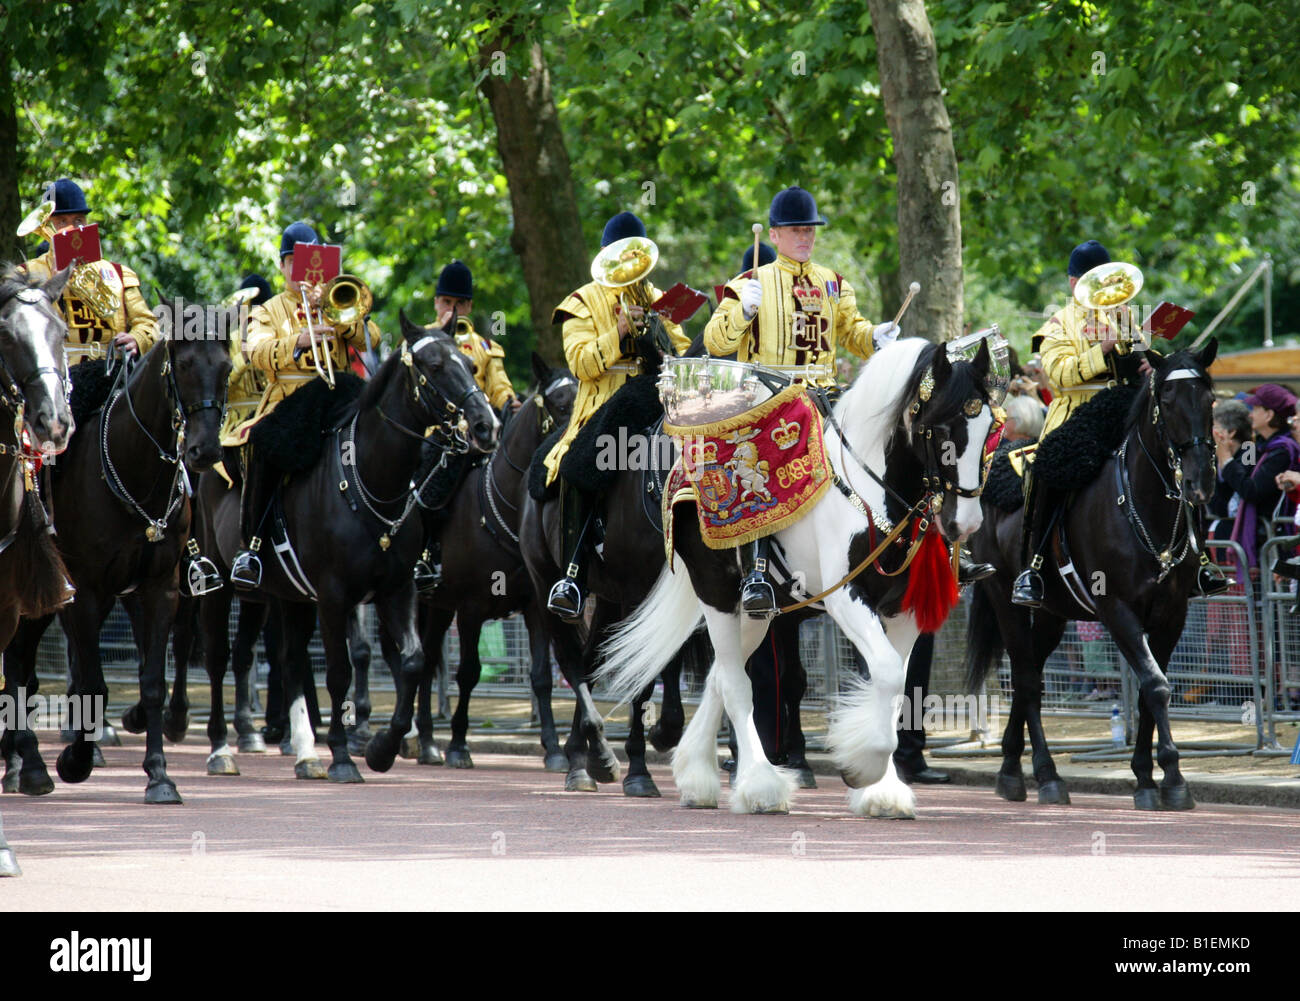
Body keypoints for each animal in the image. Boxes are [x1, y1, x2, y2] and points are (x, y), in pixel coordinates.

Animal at [2, 308, 232, 800]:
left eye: (225, 368)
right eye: (184, 365)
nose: (204, 451)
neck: (131, 467)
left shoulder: (159, 589)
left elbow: (151, 682)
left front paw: (159, 774)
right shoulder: (84, 593)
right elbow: (93, 683)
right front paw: (75, 760)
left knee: (21, 663)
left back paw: (20, 762)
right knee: (17, 664)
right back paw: (28, 763)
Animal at [200, 312, 499, 780]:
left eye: (470, 365)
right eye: (433, 366)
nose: (486, 426)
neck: (375, 482)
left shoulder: (398, 590)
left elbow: (413, 661)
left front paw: (382, 747)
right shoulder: (334, 595)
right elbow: (340, 671)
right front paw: (343, 756)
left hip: (288, 595)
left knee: (290, 660)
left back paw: (306, 753)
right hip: (220, 581)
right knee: (219, 656)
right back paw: (221, 749)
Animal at [967, 338, 1216, 806]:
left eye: (1209, 398)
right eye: (1167, 399)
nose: (1200, 482)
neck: (1142, 505)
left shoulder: (1171, 613)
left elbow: (1151, 690)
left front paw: (1147, 775)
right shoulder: (1116, 608)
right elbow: (1156, 685)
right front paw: (1172, 778)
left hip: (1052, 613)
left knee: (1030, 675)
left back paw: (1010, 768)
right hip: (1005, 599)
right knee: (1026, 679)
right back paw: (1046, 776)